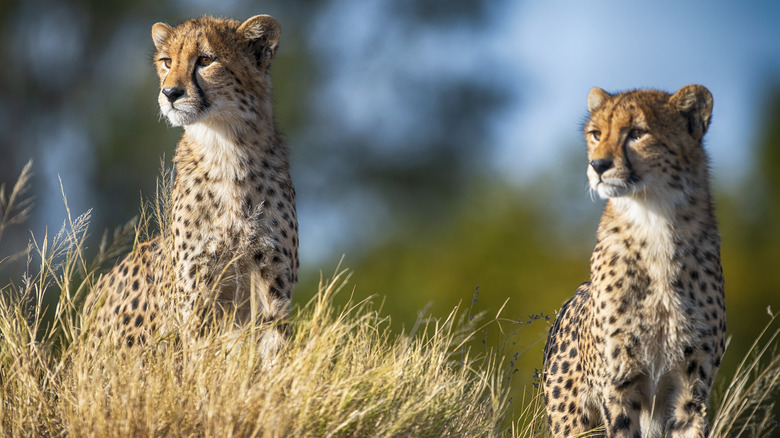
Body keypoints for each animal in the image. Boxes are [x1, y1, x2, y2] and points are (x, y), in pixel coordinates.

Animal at [544, 85, 724, 438]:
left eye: (638, 133)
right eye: (596, 134)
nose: (598, 165)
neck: (654, 222)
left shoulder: (692, 393)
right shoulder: (617, 389)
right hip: (572, 421)